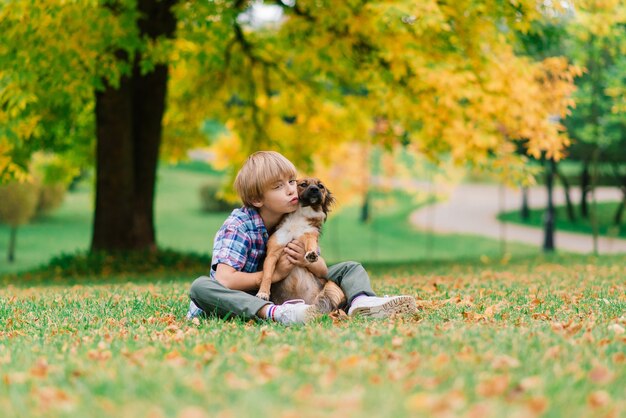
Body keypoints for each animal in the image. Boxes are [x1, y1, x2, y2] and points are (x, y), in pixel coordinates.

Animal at [255, 178, 346, 312]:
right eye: (303, 184)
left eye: (321, 186)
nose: (314, 189)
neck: (299, 216)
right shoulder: (273, 252)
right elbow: (267, 275)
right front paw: (263, 292)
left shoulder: (309, 235)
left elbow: (311, 245)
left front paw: (311, 254)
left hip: (331, 285)